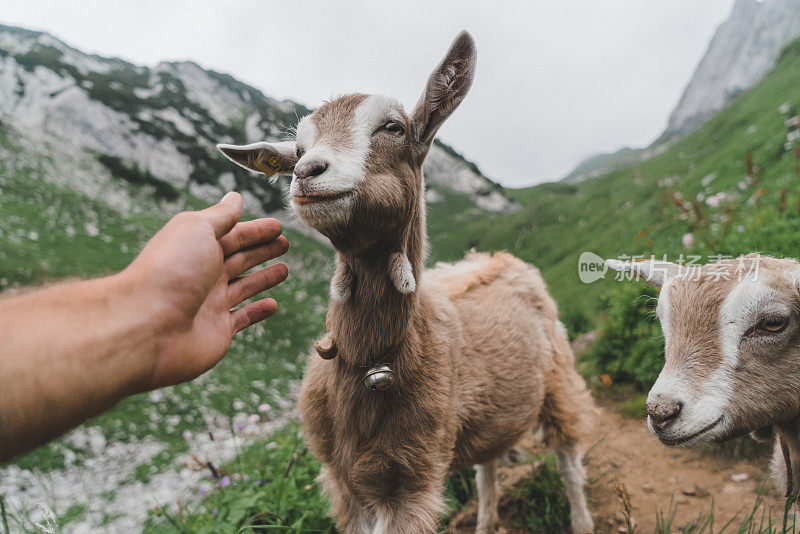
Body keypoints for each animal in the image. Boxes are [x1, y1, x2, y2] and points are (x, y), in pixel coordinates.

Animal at [219, 31, 592, 532]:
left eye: (393, 127)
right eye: (296, 149)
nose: (306, 171)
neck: (372, 361)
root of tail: (497, 258)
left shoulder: (412, 480)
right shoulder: (342, 482)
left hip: (560, 378)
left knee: (570, 458)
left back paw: (581, 520)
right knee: (489, 466)